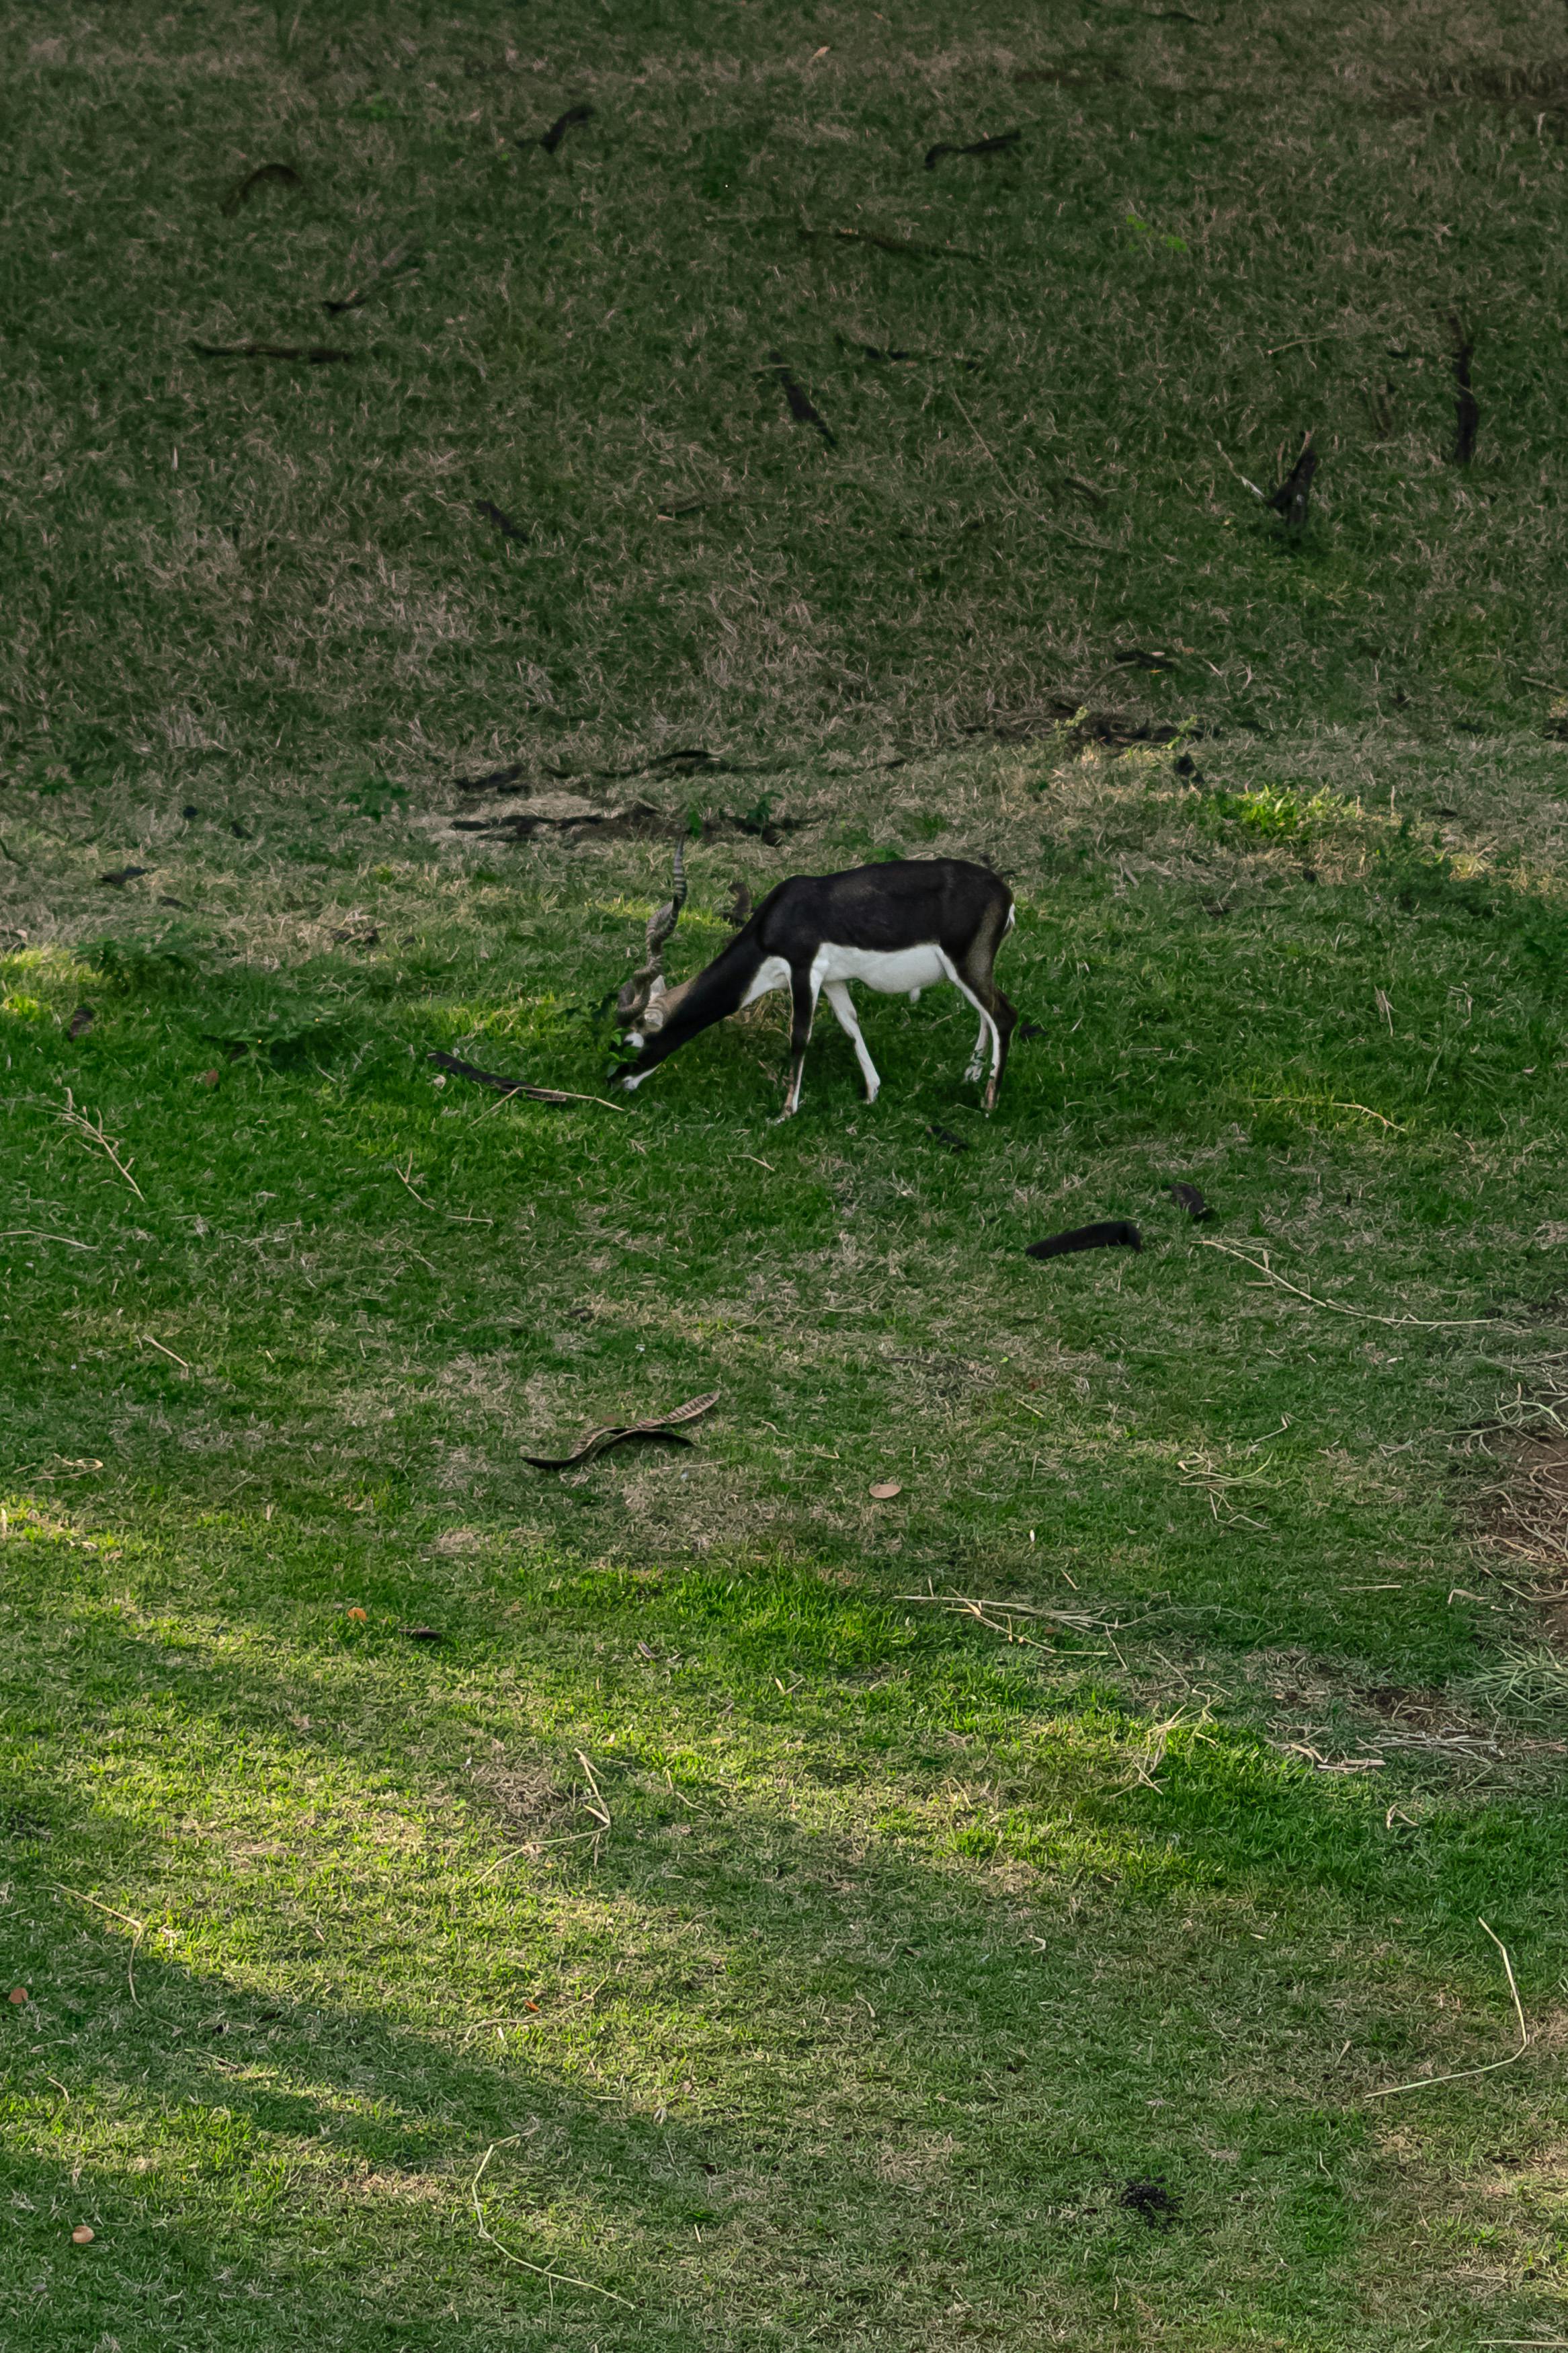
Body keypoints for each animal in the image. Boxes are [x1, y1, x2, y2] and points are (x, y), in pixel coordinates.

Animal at [611, 852, 1020, 1115]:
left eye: (631, 1043)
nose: (613, 1081)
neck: (776, 921)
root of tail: (1006, 893)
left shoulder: (803, 970)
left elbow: (799, 1037)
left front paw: (786, 1111)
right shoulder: (833, 980)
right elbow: (851, 1026)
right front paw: (872, 1092)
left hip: (966, 967)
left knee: (1004, 1016)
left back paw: (989, 1104)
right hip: (968, 972)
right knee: (987, 1014)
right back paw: (972, 1075)